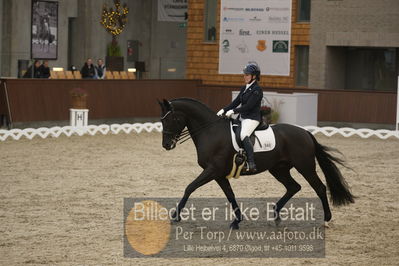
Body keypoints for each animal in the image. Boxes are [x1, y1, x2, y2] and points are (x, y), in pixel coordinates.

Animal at [159, 97, 354, 229]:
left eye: (171, 119)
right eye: (162, 120)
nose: (166, 145)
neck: (210, 131)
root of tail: (306, 133)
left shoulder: (212, 170)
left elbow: (190, 187)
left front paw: (175, 216)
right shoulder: (219, 174)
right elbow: (230, 195)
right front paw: (237, 221)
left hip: (305, 167)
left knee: (319, 188)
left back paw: (326, 219)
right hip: (279, 169)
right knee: (293, 187)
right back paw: (276, 215)